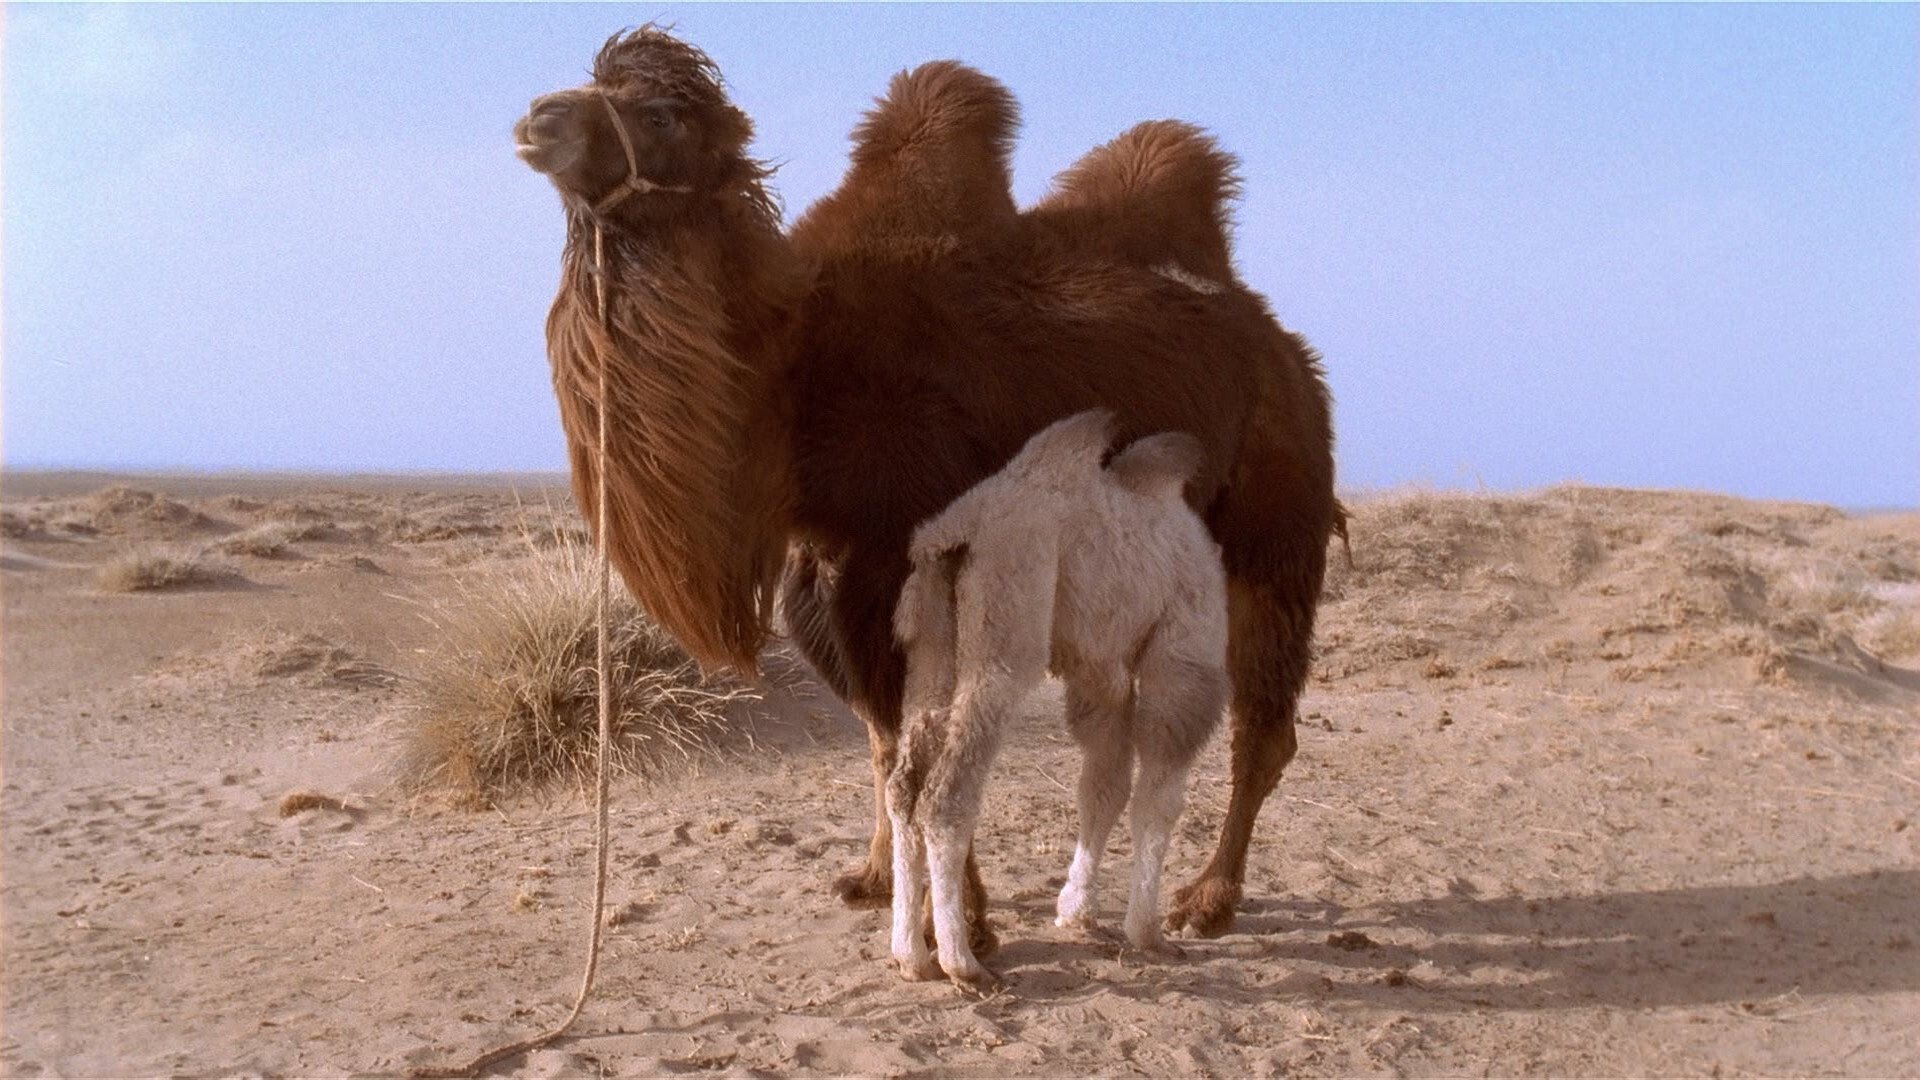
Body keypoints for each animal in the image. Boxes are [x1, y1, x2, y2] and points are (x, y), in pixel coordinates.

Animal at [518, 27, 1344, 941]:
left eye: (660, 113)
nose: (538, 119)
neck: (792, 363)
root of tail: (1289, 352)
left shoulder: (900, 555)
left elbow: (917, 735)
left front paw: (965, 921)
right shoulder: (823, 565)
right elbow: (884, 740)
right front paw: (880, 878)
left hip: (1274, 527)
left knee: (1262, 723)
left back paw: (1208, 897)